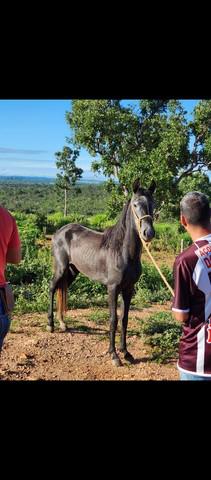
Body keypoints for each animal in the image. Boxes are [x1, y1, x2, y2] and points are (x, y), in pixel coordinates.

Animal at [48, 178, 157, 366]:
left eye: (153, 204)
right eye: (135, 204)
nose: (148, 233)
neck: (122, 251)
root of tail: (60, 231)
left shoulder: (128, 289)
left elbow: (124, 319)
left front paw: (126, 352)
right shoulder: (112, 288)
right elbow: (113, 319)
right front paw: (114, 355)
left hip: (72, 271)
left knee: (62, 289)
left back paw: (62, 323)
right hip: (61, 268)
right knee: (52, 288)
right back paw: (51, 325)